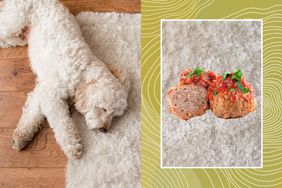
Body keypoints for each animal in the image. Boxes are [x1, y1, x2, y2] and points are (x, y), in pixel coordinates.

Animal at [0, 0, 131, 159]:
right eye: (104, 109)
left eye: (114, 116)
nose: (104, 130)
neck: (82, 73)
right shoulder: (53, 94)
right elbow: (63, 123)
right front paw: (73, 146)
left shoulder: (43, 90)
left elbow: (32, 112)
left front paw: (21, 136)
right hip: (14, 20)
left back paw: (17, 40)